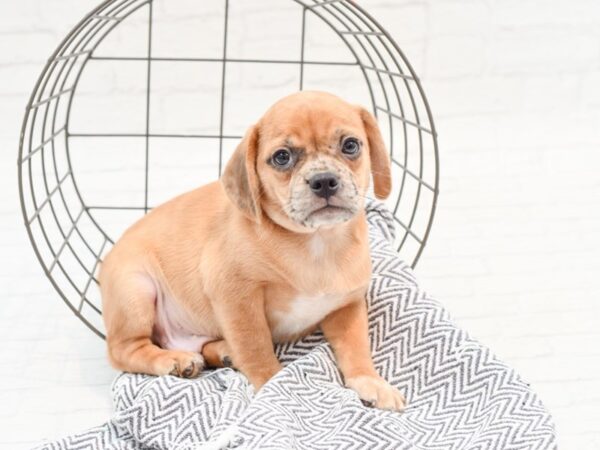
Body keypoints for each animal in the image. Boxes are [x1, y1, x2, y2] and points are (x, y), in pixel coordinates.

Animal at [101, 90, 406, 412]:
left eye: (350, 145)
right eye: (282, 157)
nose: (323, 180)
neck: (317, 242)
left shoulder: (346, 305)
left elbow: (356, 347)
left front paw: (371, 381)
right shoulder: (237, 296)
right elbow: (255, 346)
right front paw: (275, 387)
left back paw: (220, 352)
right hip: (136, 290)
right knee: (125, 350)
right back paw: (173, 359)